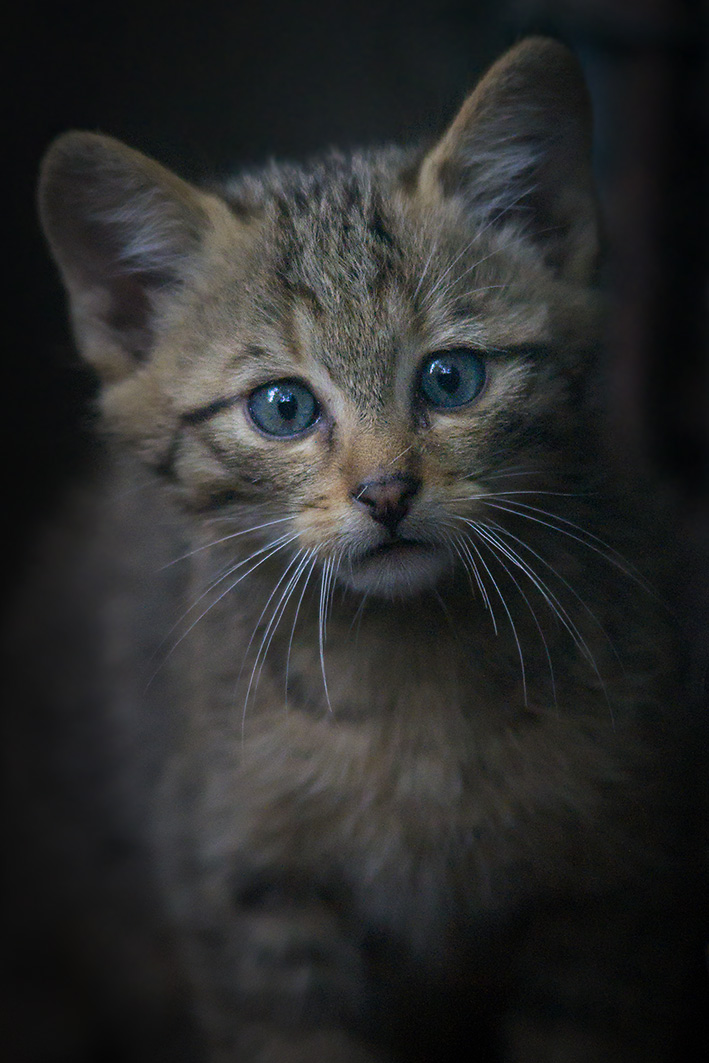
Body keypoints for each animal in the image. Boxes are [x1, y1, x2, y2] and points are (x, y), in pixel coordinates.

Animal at [26, 35, 697, 1063]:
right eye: (283, 407)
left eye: (451, 378)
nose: (386, 491)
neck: (410, 688)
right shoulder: (249, 900)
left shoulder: (612, 896)